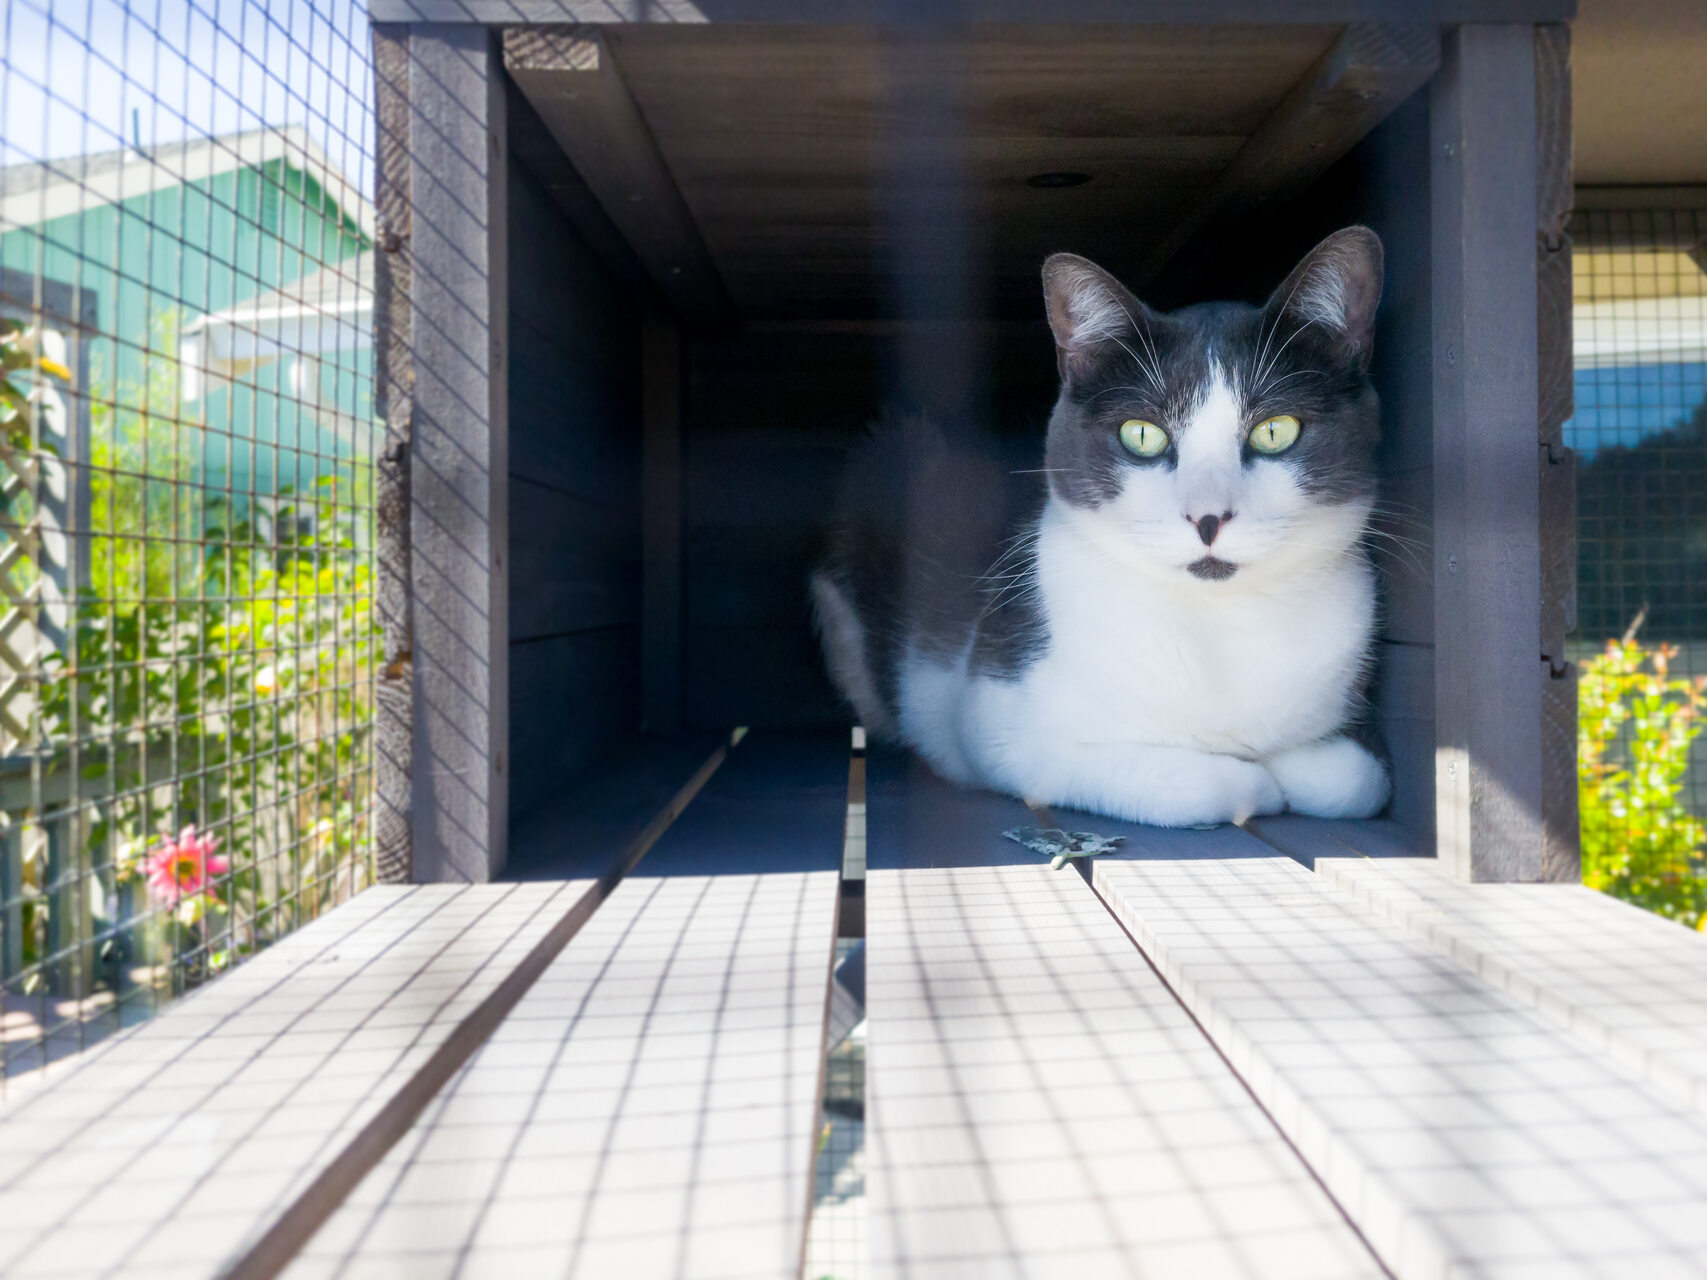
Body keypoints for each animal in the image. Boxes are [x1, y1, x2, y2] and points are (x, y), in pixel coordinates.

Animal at [809, 228, 1386, 832]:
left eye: (1275, 431)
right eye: (1142, 435)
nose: (1207, 517)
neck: (1216, 623)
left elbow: (1357, 781)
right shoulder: (995, 720)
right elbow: (1193, 780)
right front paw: (1256, 779)